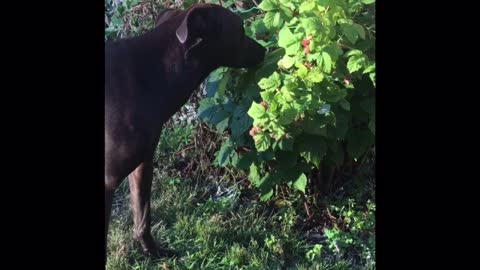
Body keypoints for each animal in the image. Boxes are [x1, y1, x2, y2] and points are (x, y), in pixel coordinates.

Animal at [104, 3, 266, 258]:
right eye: (240, 29)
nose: (265, 50)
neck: (152, 73)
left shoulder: (143, 163)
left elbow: (143, 213)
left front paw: (152, 252)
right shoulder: (107, 180)